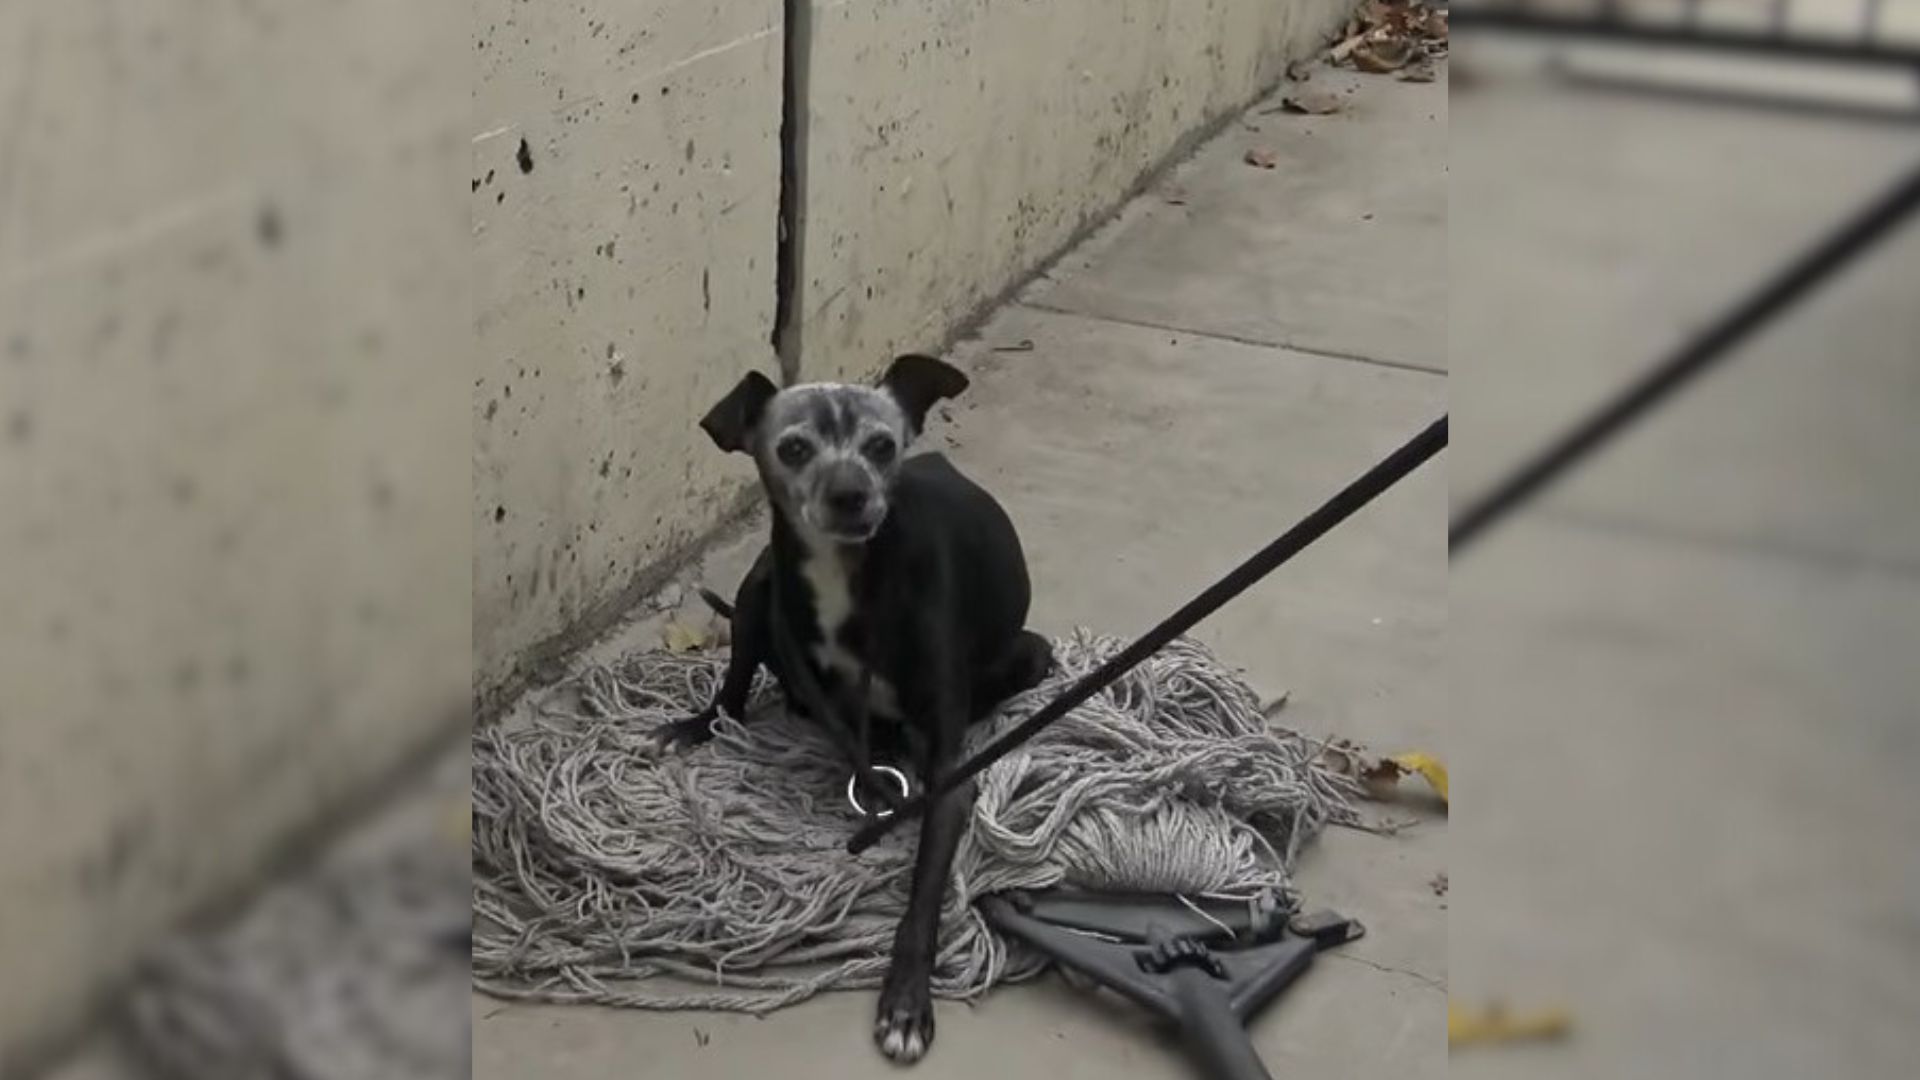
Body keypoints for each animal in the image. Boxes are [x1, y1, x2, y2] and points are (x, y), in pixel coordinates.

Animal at [656, 353, 1052, 1060]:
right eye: (792, 448)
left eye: (881, 446)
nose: (851, 495)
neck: (850, 583)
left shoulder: (949, 781)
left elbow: (922, 895)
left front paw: (906, 1002)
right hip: (756, 590)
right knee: (734, 689)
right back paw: (700, 725)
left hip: (1030, 655)